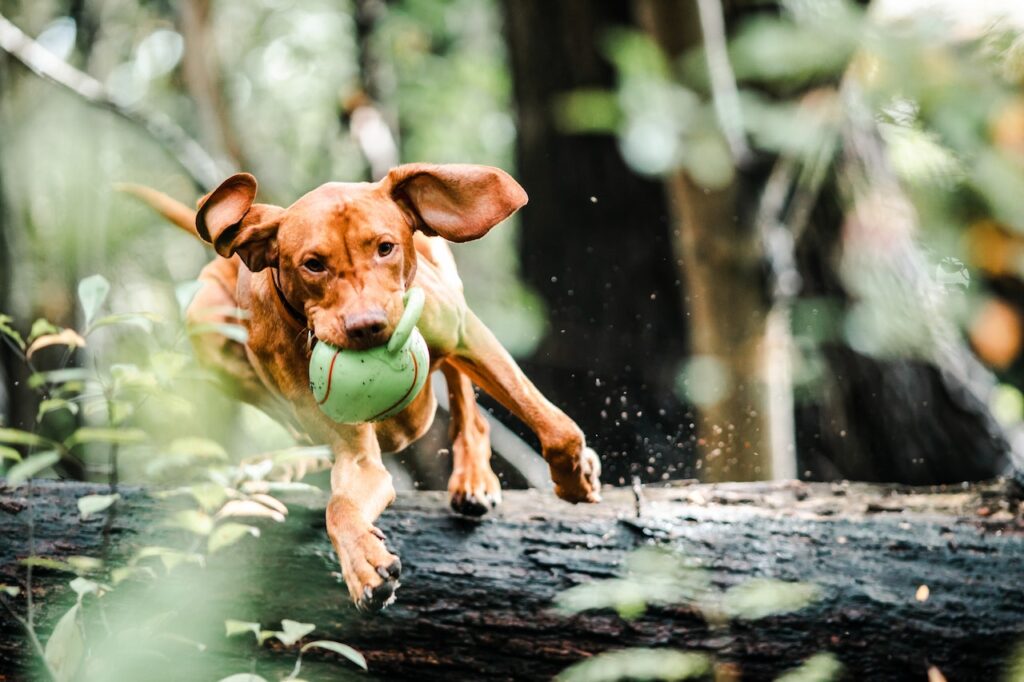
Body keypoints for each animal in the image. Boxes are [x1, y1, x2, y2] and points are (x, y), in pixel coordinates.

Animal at [132, 163, 602, 606]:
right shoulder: (355, 454)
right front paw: (363, 563)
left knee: (464, 398)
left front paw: (575, 477)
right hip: (207, 322)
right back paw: (279, 467)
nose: (367, 326)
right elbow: (340, 504)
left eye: (385, 248)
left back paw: (473, 477)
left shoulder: (465, 334)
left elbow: (555, 428)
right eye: (313, 264)